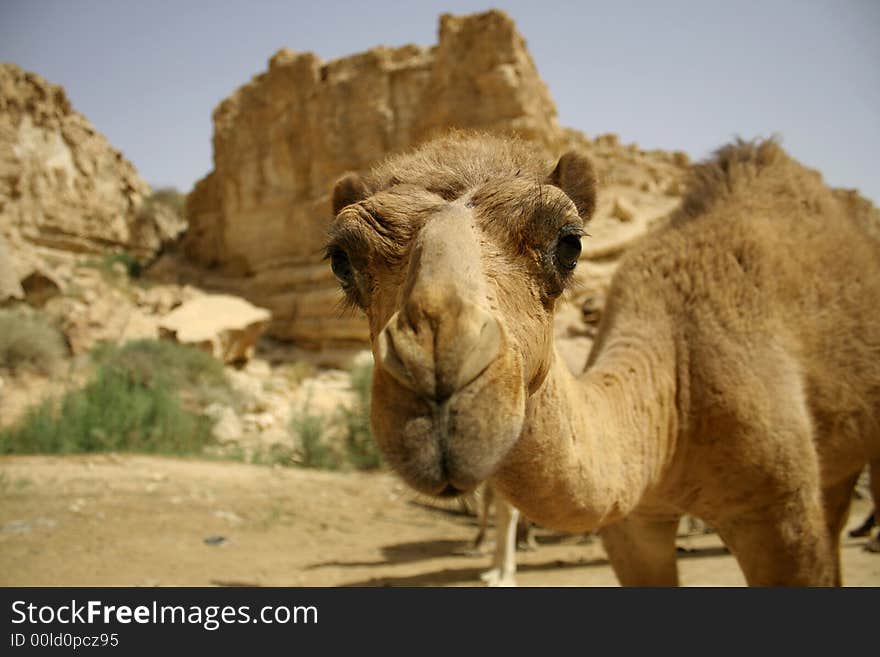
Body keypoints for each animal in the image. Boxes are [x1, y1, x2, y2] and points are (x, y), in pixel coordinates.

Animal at [328, 133, 880, 584]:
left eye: (568, 244)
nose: (438, 367)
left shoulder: (779, 512)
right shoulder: (633, 524)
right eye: (341, 260)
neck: (677, 402)